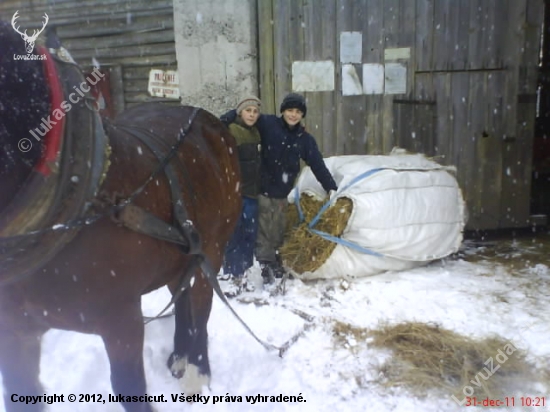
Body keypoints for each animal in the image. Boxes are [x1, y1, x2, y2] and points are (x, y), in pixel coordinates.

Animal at [0, 20, 242, 410]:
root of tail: (206, 118)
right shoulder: (13, 333)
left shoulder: (121, 323)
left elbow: (130, 387)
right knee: (183, 293)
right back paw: (179, 356)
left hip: (213, 247)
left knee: (201, 304)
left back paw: (197, 371)